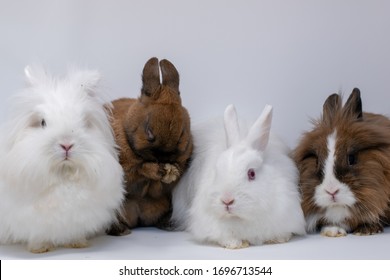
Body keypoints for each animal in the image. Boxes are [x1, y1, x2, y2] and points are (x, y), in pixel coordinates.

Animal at [0, 65, 125, 254]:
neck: (64, 174)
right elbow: (38, 236)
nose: (66, 144)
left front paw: (77, 244)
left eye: (83, 122)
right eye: (42, 122)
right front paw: (40, 249)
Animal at [107, 57, 193, 234]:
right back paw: (120, 230)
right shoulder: (127, 172)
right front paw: (158, 170)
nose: (163, 157)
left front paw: (172, 170)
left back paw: (168, 224)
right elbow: (140, 170)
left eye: (181, 135)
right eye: (149, 132)